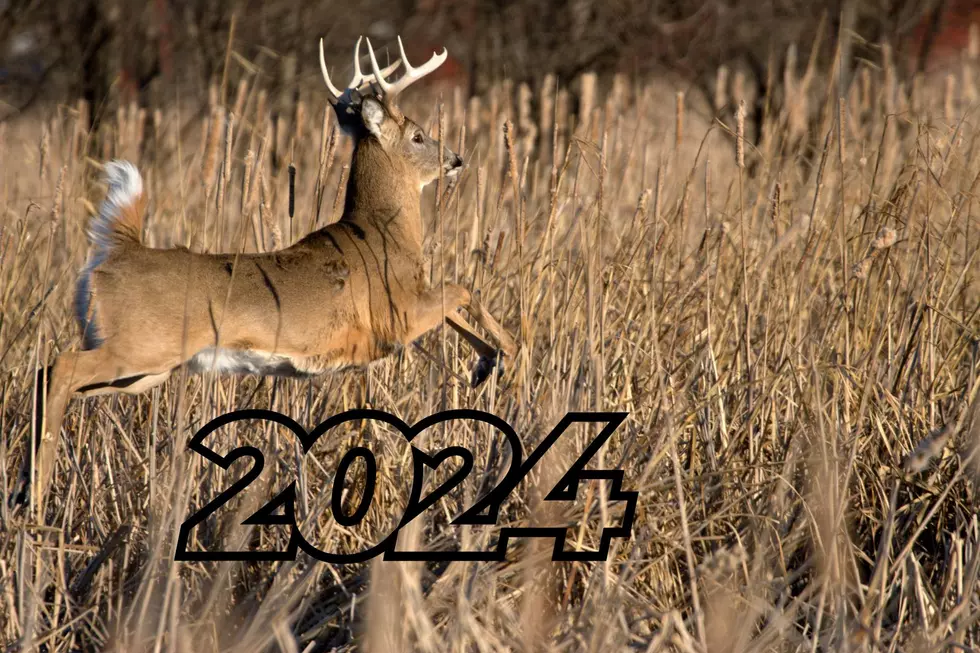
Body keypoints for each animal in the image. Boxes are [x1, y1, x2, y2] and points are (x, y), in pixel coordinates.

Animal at [12, 36, 518, 514]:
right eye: (417, 136)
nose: (456, 159)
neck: (383, 233)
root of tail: (118, 250)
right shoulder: (393, 318)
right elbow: (461, 289)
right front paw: (506, 351)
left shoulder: (409, 303)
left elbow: (456, 301)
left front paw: (487, 363)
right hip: (139, 345)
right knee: (60, 366)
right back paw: (35, 489)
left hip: (144, 368)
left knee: (48, 375)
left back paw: (23, 487)